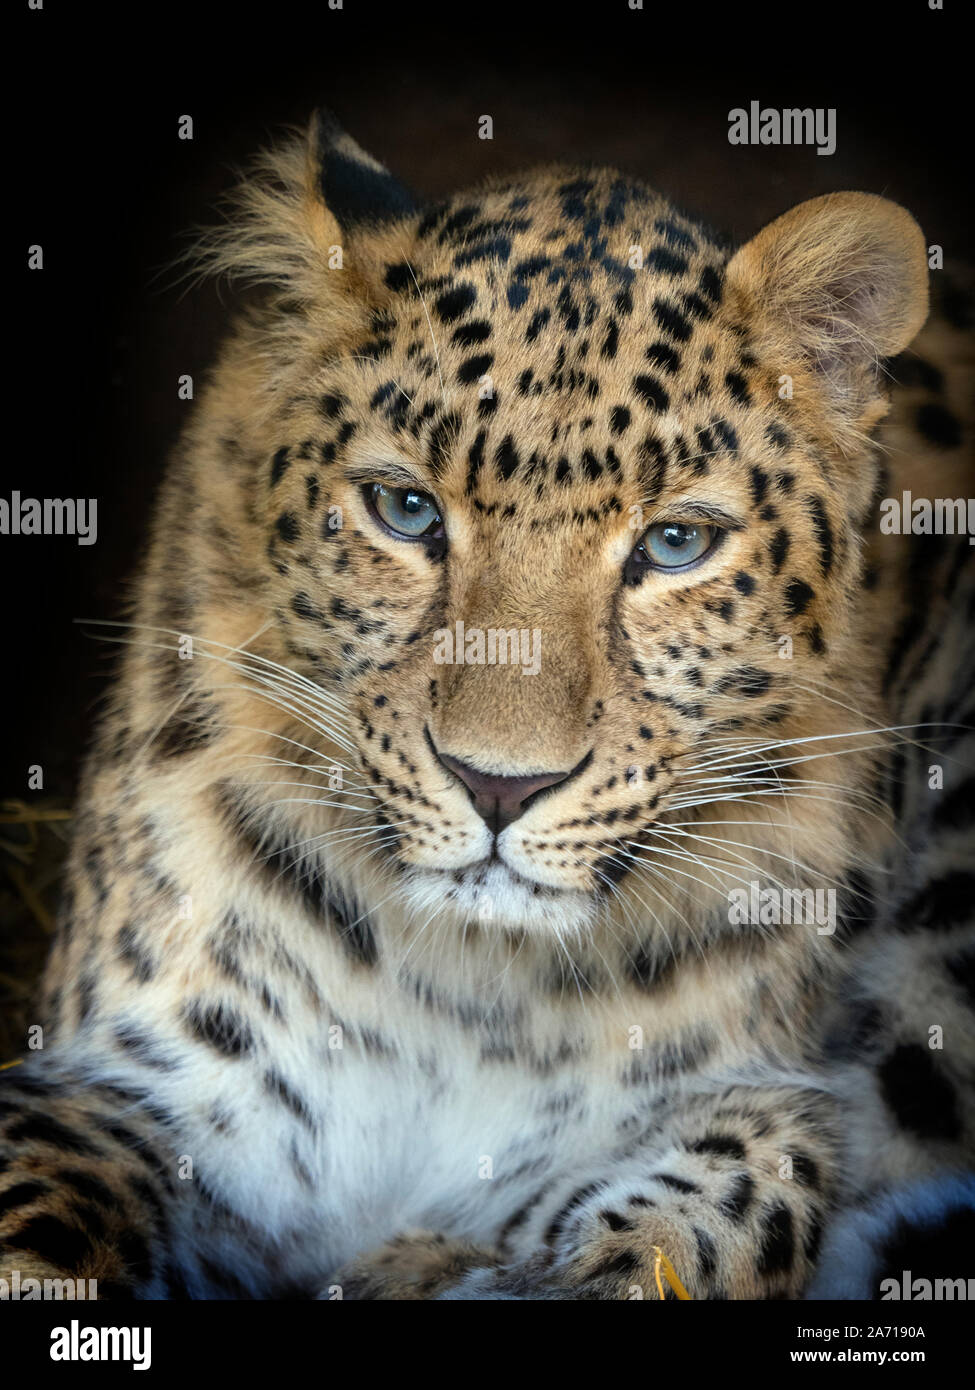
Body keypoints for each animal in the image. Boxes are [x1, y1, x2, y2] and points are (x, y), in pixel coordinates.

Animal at [1, 109, 972, 1301]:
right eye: (406, 510)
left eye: (674, 543)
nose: (498, 787)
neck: (468, 987)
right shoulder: (129, 1084)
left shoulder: (750, 1114)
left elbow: (693, 1238)